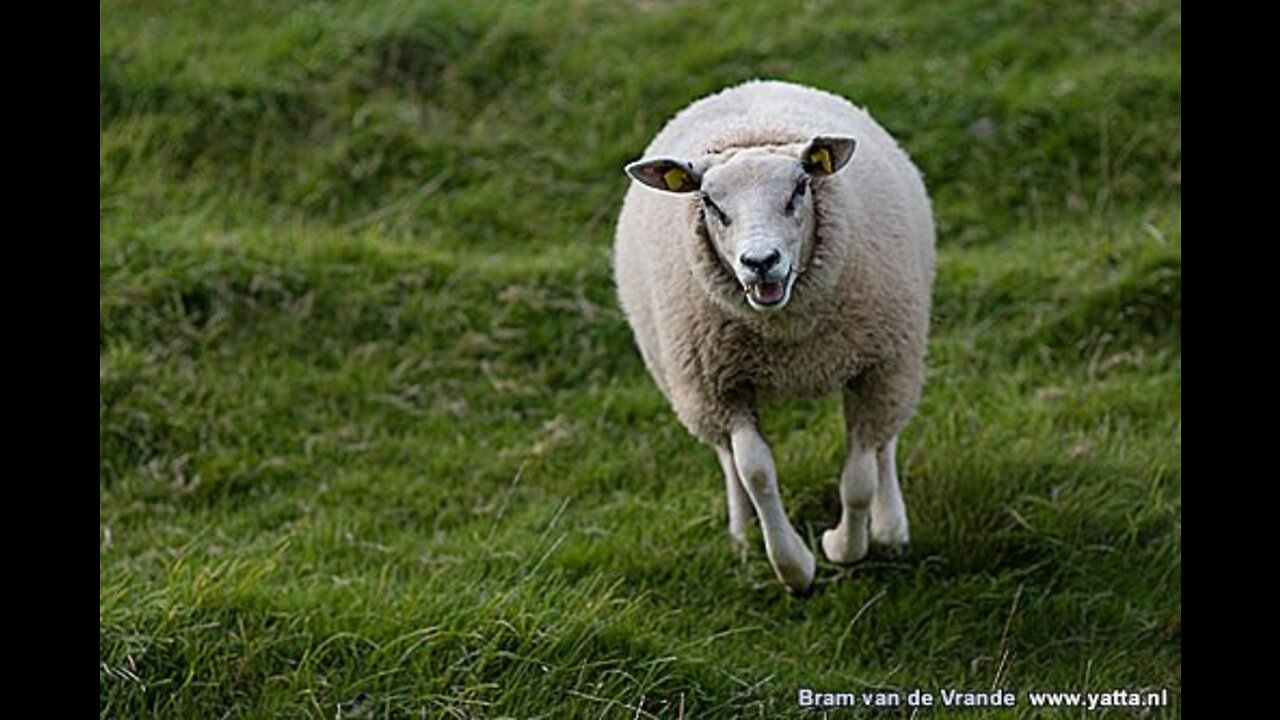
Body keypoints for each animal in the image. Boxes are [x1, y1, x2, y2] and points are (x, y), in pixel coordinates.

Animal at [613, 80, 935, 593]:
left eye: (800, 187)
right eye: (710, 202)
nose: (760, 261)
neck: (790, 337)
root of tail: (753, 84)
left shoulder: (877, 366)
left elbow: (860, 476)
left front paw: (843, 547)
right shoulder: (721, 387)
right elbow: (755, 472)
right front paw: (794, 567)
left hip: (897, 362)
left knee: (886, 442)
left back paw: (891, 528)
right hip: (694, 391)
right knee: (726, 457)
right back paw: (743, 535)